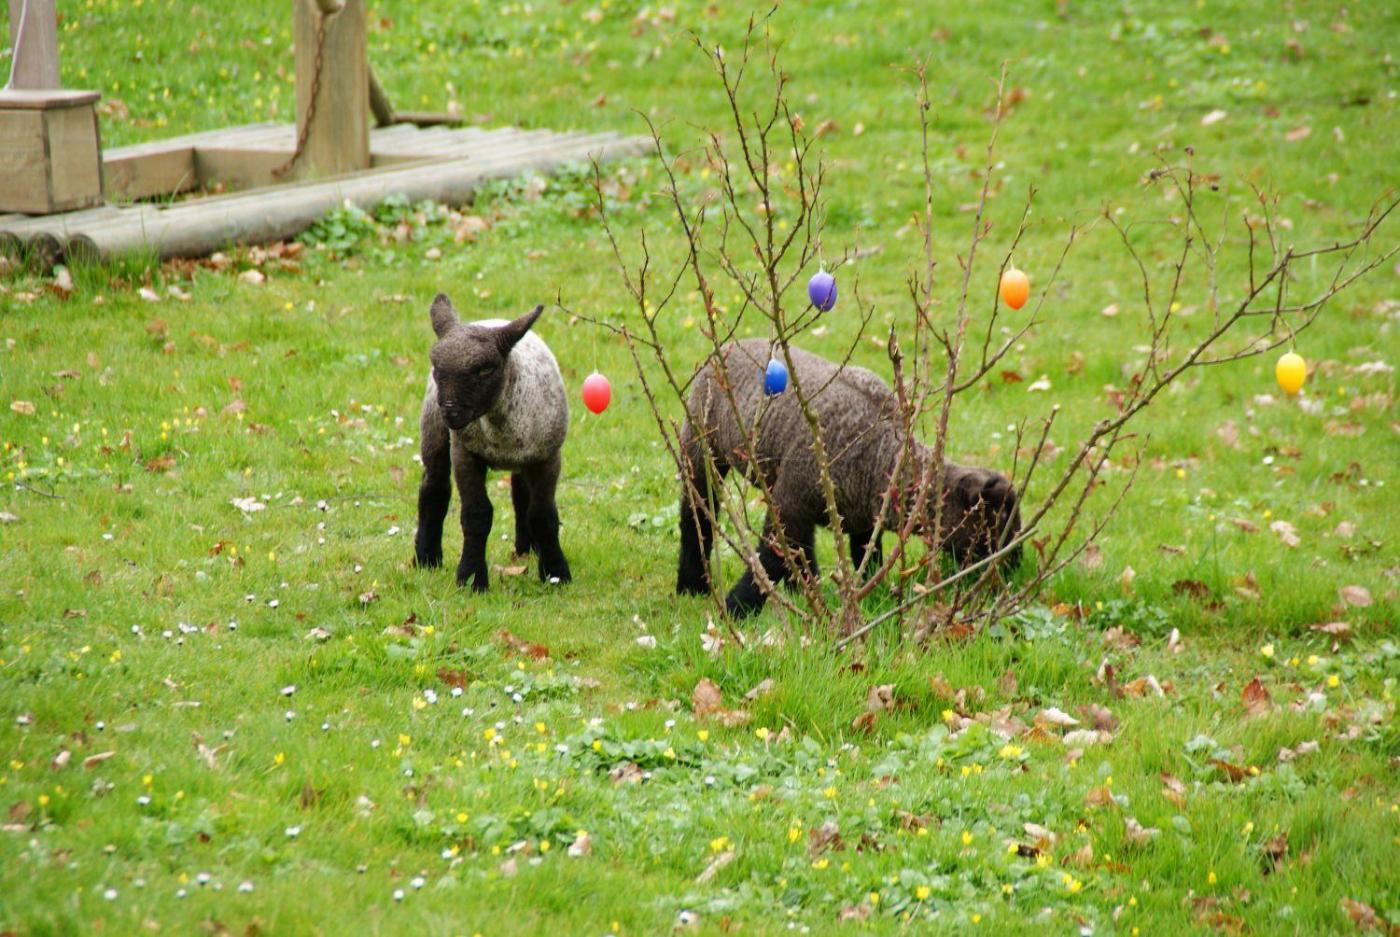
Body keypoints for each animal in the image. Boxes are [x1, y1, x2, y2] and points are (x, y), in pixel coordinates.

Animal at [413, 293, 572, 591]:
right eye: (437, 368)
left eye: (486, 369)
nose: (451, 412)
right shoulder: (464, 453)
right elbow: (477, 514)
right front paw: (471, 577)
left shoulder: (547, 456)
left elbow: (542, 514)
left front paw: (556, 573)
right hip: (434, 429)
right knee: (433, 489)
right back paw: (426, 557)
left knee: (521, 493)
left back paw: (527, 549)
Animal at [676, 339, 1021, 617]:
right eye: (996, 522)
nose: (1017, 566)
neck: (881, 454)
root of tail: (726, 347)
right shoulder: (791, 503)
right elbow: (771, 560)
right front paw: (737, 610)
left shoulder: (859, 520)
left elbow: (865, 556)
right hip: (701, 449)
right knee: (696, 516)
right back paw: (691, 585)